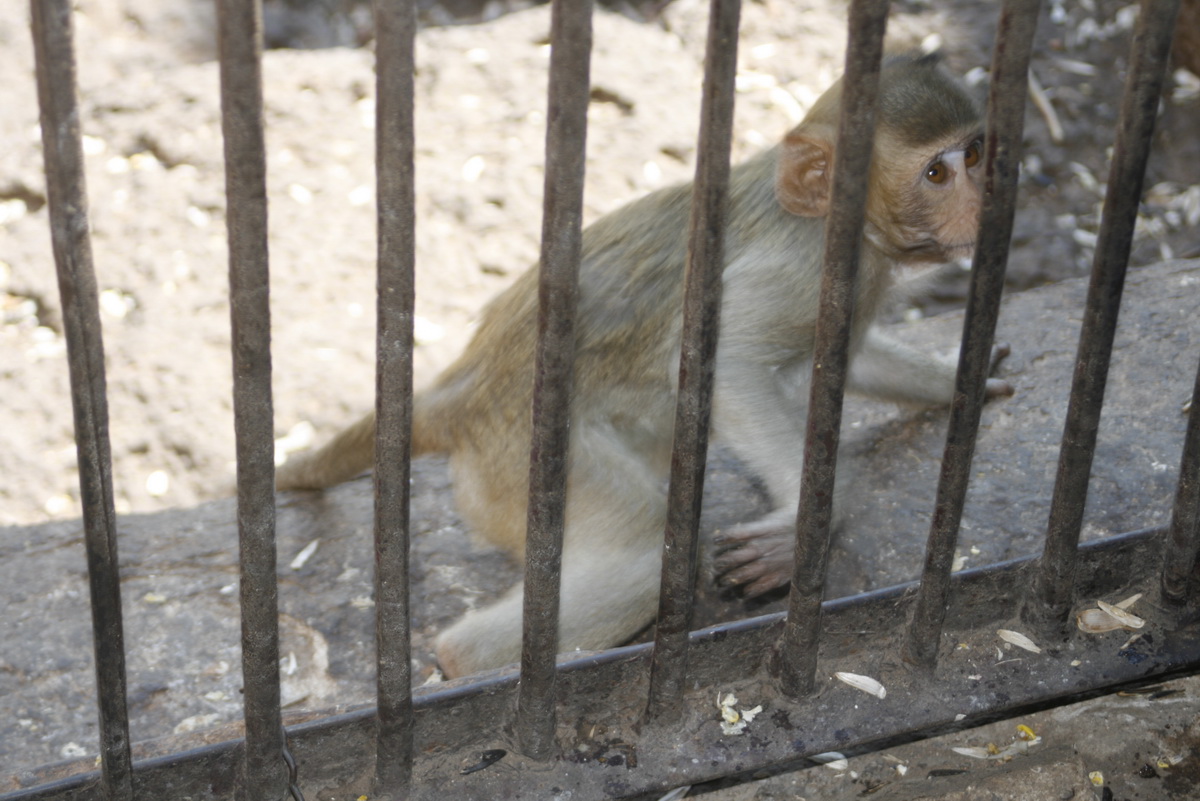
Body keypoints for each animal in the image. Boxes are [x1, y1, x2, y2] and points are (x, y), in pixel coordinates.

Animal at [276, 52, 1013, 678]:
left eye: (976, 153)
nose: (985, 199)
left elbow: (841, 362)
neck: (837, 221)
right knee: (641, 553)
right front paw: (812, 521)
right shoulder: (806, 267)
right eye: (937, 172)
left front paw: (965, 380)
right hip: (521, 462)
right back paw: (465, 660)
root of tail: (460, 389)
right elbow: (730, 359)